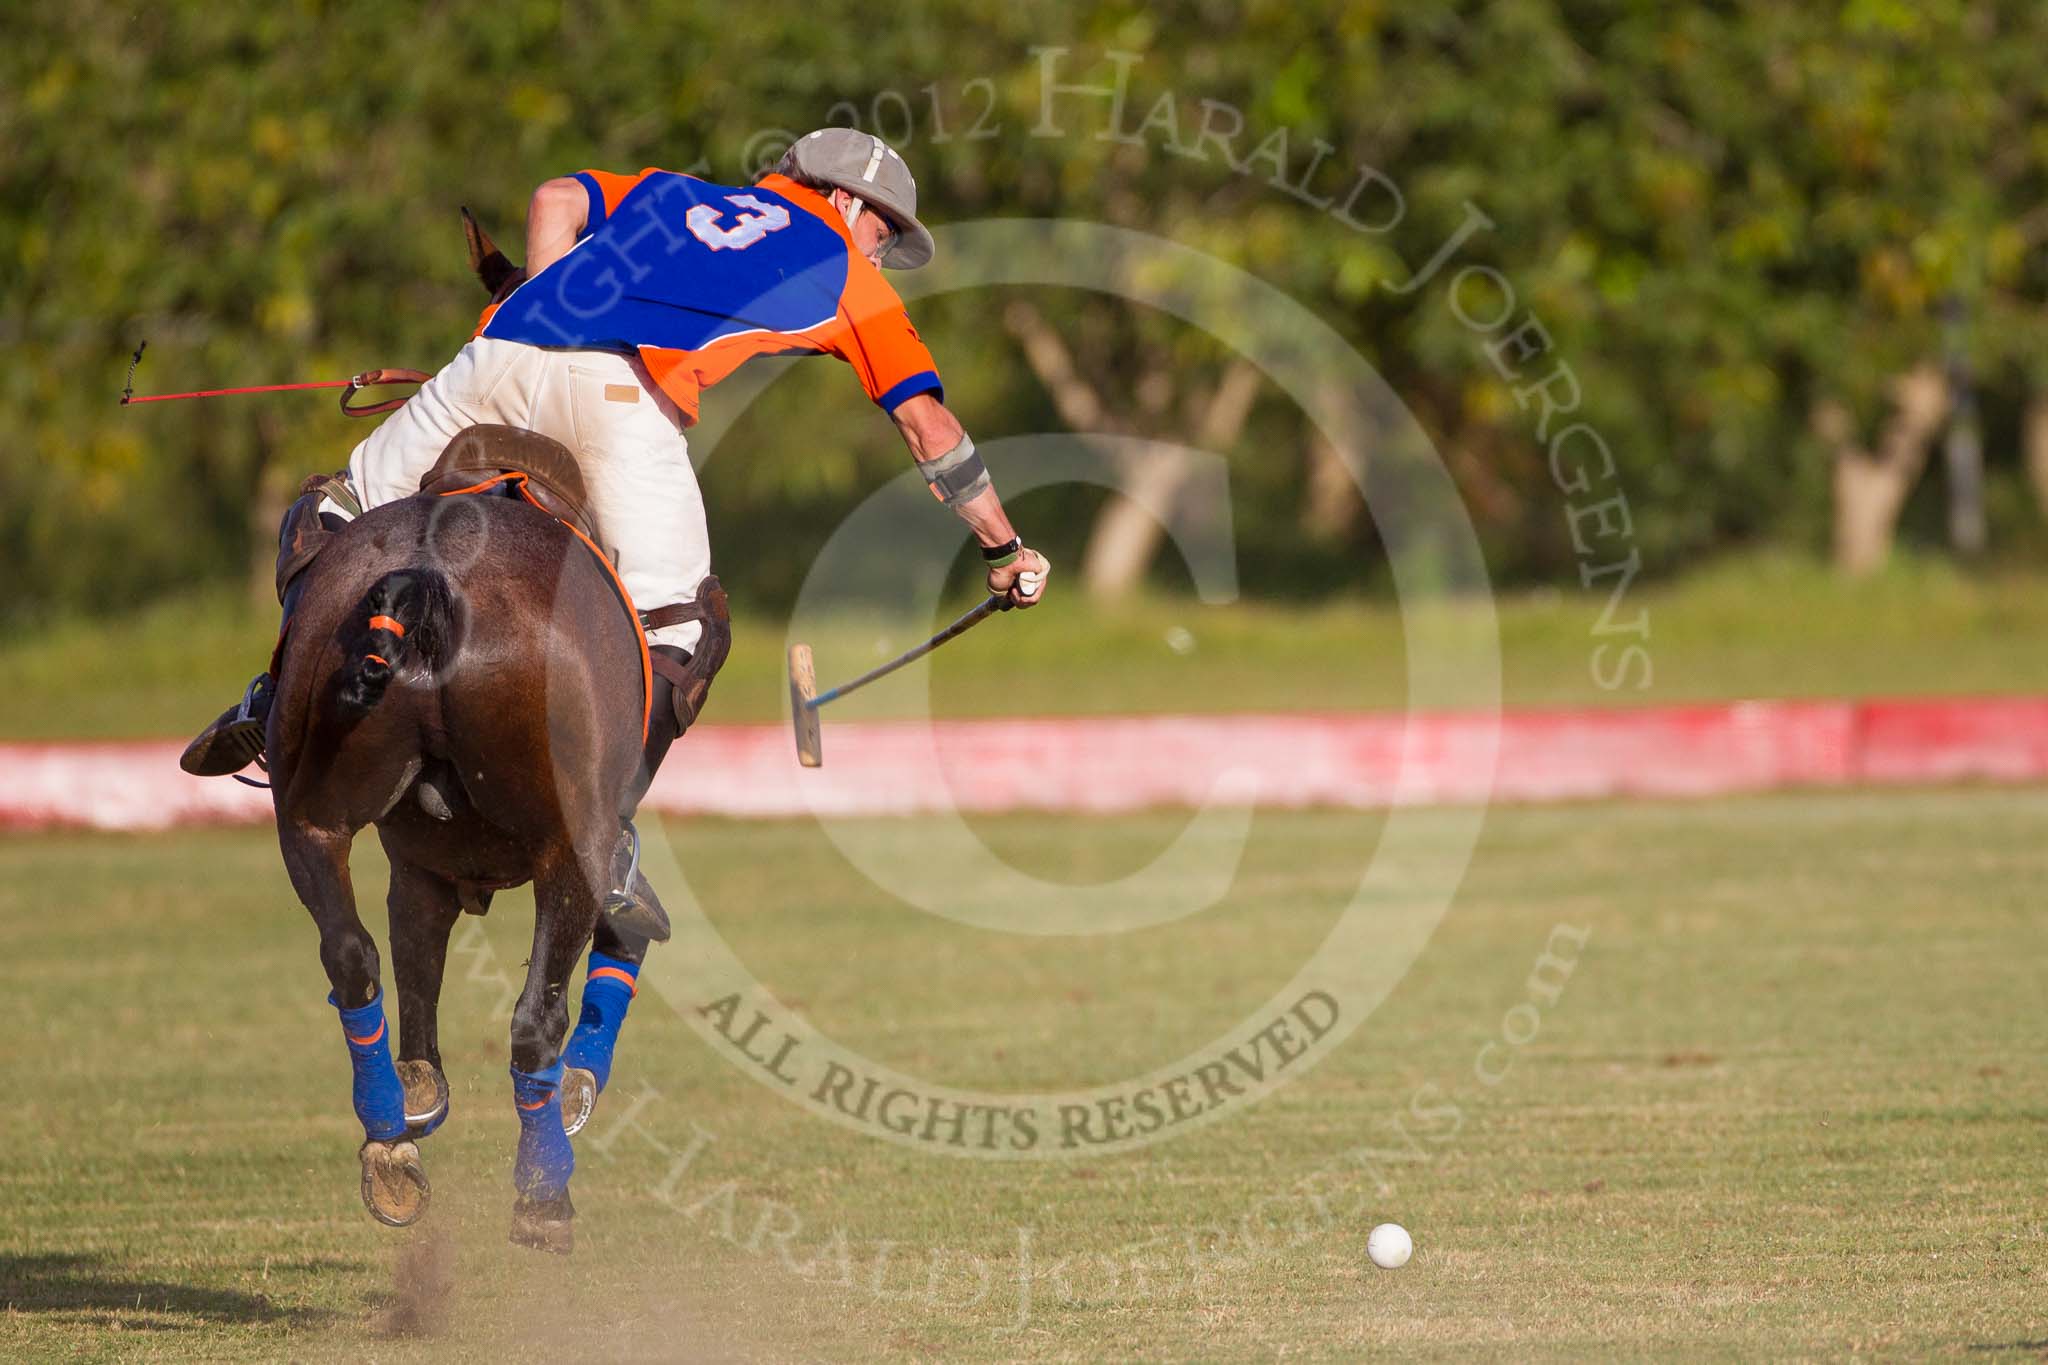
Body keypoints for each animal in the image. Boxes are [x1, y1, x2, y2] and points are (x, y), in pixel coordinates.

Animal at [268, 474, 655, 1252]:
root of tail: (429, 582)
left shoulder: (421, 873)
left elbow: (413, 973)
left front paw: (417, 1100)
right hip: (569, 846)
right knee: (537, 1017)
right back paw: (543, 1195)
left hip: (310, 812)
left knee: (350, 956)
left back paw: (390, 1148)